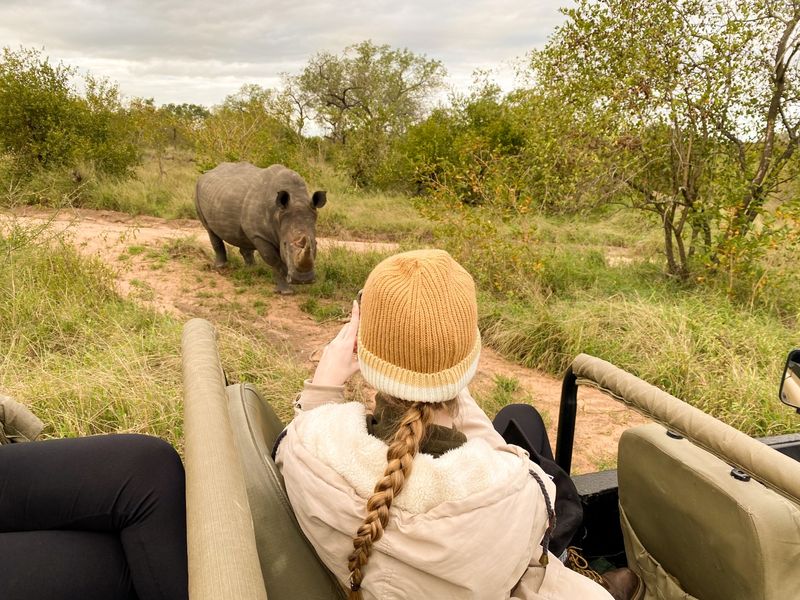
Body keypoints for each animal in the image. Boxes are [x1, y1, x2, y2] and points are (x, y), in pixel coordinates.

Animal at [195, 162, 326, 294]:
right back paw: (220, 267)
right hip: (197, 190)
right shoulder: (260, 236)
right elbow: (275, 262)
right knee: (210, 230)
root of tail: (207, 172)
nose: (303, 280)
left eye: (315, 243)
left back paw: (251, 269)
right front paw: (286, 292)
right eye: (284, 244)